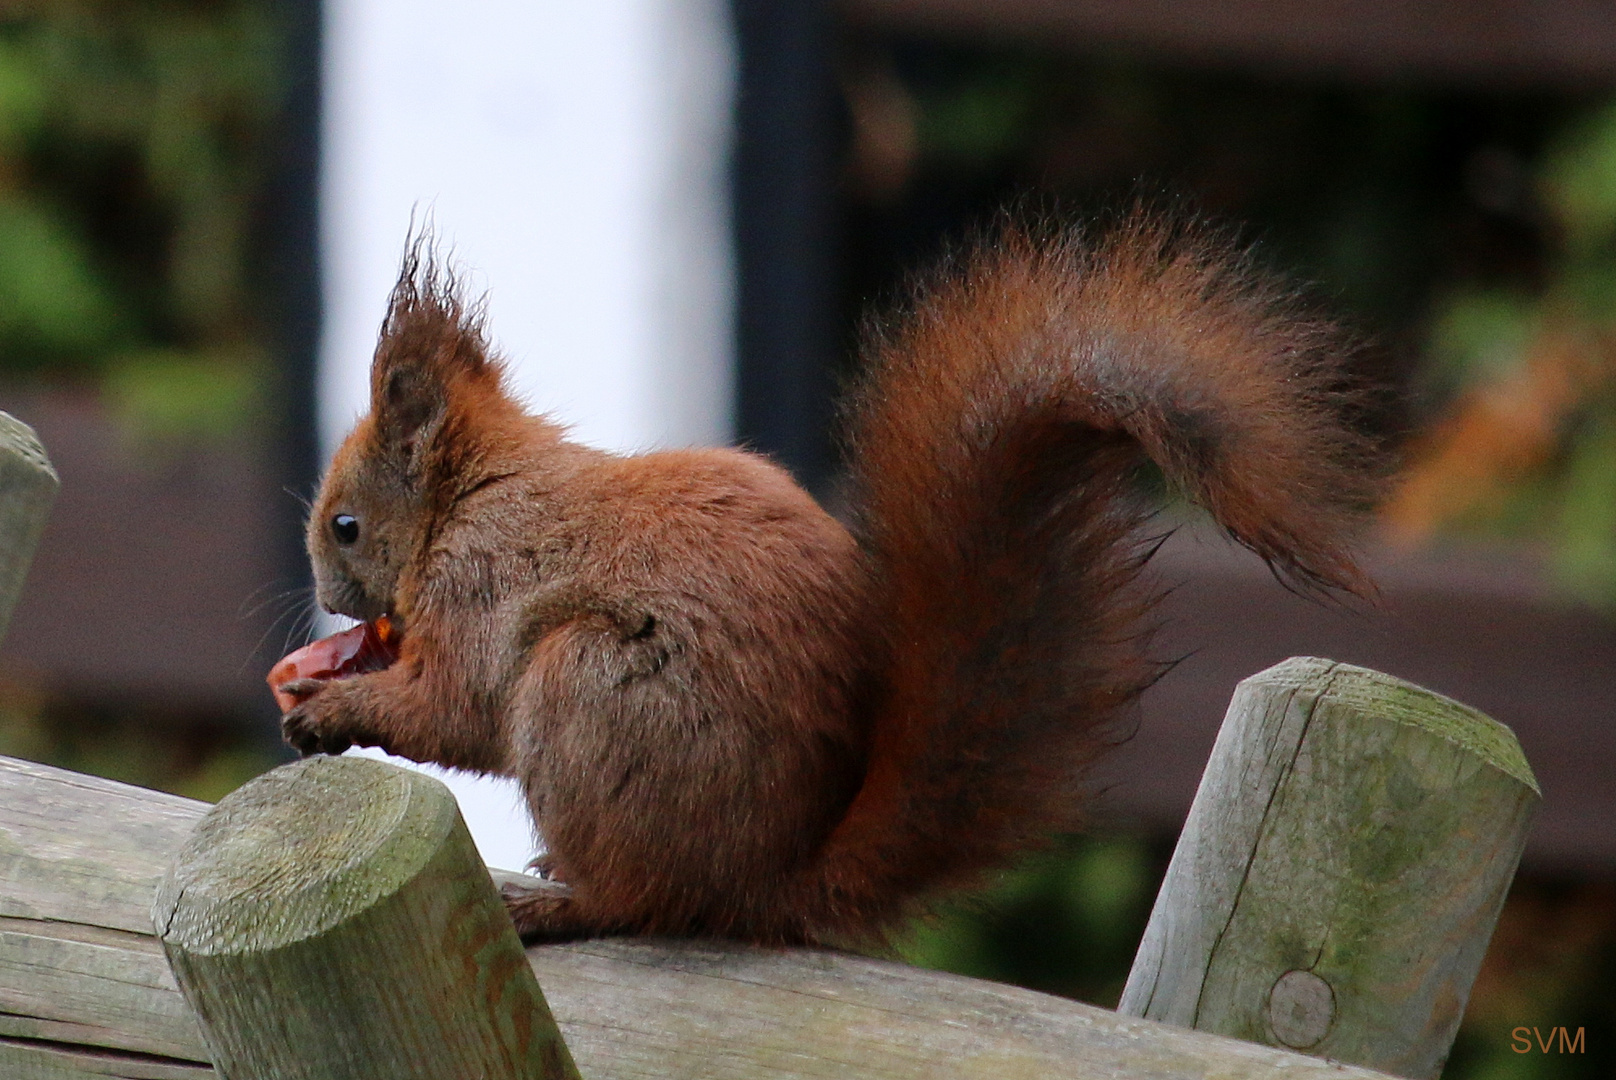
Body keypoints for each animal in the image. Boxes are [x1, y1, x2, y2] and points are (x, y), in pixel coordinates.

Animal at [274, 213, 1376, 944]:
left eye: (345, 526)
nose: (328, 602)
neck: (472, 495)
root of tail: (767, 882)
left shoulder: (480, 580)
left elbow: (454, 709)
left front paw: (334, 711)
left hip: (589, 689)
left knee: (642, 903)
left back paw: (558, 902)